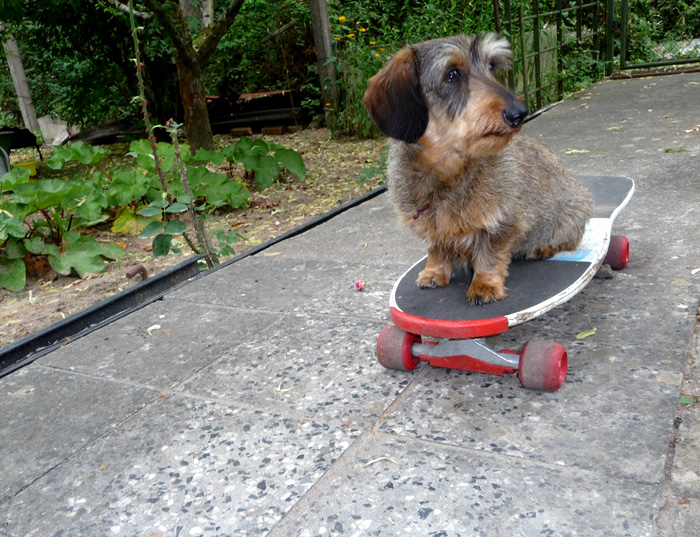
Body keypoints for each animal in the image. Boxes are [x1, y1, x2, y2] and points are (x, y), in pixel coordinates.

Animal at [364, 33, 592, 304]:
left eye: (491, 66)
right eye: (452, 74)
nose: (520, 113)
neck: (449, 175)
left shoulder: (502, 223)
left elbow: (489, 256)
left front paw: (484, 284)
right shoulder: (432, 227)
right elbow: (436, 249)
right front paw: (434, 272)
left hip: (573, 216)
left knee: (570, 240)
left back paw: (543, 247)